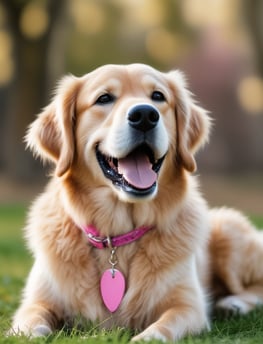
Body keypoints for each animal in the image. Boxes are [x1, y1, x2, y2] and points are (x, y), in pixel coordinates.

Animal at [9, 64, 263, 342]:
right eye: (104, 98)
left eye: (158, 96)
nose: (144, 115)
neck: (117, 237)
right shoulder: (35, 303)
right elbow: (28, 326)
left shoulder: (189, 307)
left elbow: (162, 328)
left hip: (229, 230)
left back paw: (233, 303)